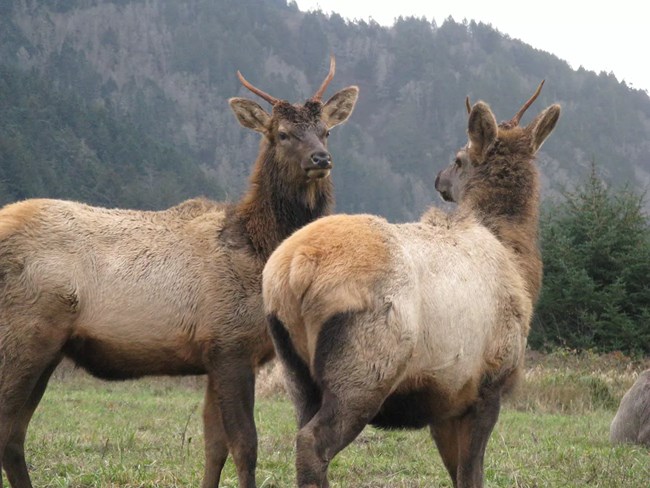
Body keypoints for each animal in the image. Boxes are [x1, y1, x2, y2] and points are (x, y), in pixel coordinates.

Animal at [0, 58, 360, 488]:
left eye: (326, 131)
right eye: (282, 134)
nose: (321, 159)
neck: (259, 252)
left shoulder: (213, 355)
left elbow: (214, 446)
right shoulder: (230, 344)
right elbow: (245, 445)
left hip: (47, 347)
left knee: (13, 435)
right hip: (24, 334)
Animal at [262, 82, 556, 486]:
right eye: (460, 156)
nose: (439, 178)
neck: (520, 264)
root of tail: (292, 271)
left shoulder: (447, 399)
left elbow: (457, 472)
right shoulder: (487, 385)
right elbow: (472, 473)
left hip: (295, 372)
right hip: (366, 367)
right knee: (312, 442)